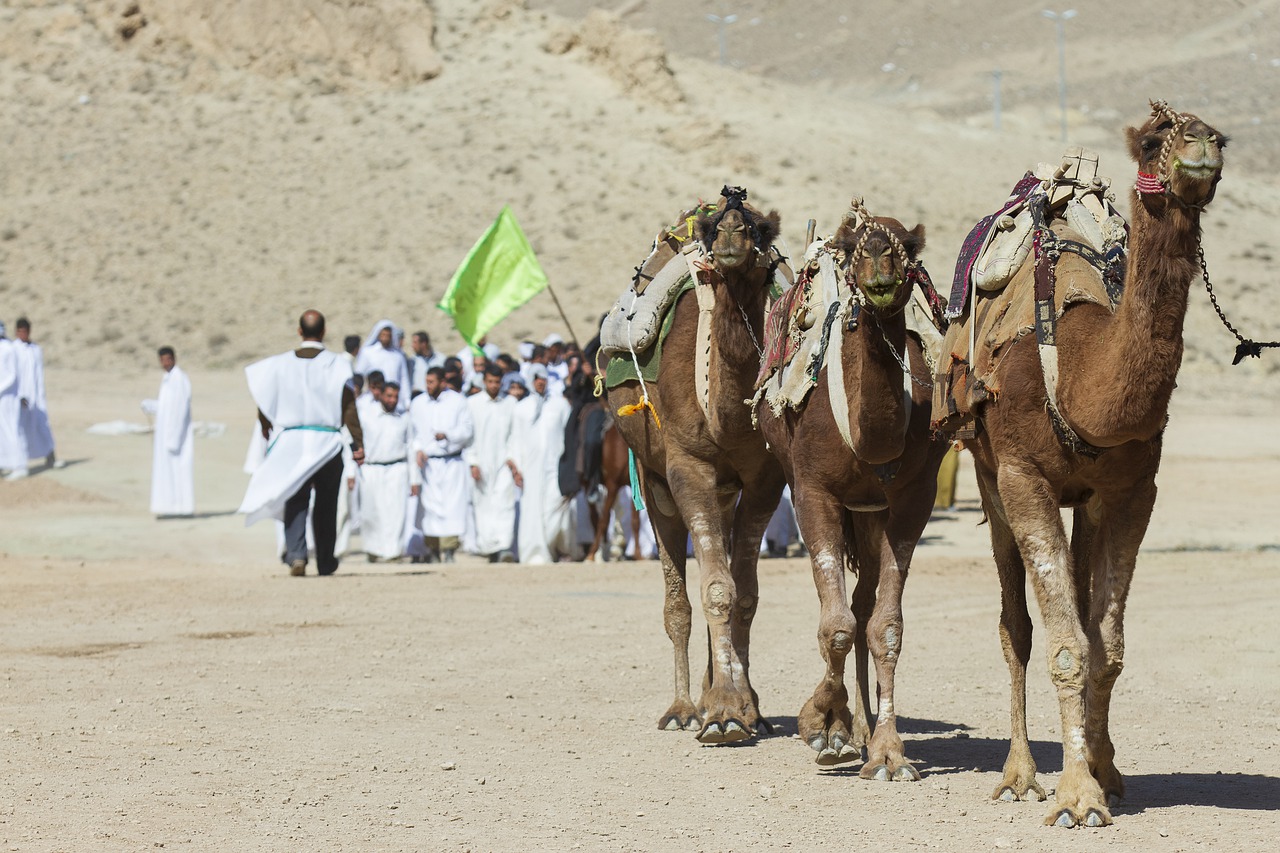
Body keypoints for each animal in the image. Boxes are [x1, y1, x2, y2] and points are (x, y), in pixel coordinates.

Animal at [608, 187, 787, 743]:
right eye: (711, 231)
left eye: (761, 230)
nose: (730, 232)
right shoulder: (687, 468)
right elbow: (715, 590)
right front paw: (724, 714)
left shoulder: (765, 480)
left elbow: (744, 593)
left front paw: (745, 706)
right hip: (653, 480)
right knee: (677, 601)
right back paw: (684, 708)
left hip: (724, 491)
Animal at [757, 207, 947, 779]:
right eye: (852, 245)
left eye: (908, 245)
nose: (881, 261)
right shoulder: (812, 490)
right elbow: (835, 625)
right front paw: (820, 725)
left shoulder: (914, 499)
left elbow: (885, 627)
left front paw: (888, 754)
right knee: (846, 611)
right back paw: (846, 728)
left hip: (870, 511)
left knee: (864, 608)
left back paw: (863, 731)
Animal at [945, 103, 1227, 827]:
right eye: (1154, 142)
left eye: (1220, 135)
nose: (1201, 150)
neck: (1078, 369)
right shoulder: (1022, 476)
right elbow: (1066, 645)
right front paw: (1076, 796)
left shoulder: (1132, 489)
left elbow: (1108, 645)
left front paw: (1103, 771)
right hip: (987, 478)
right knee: (1015, 625)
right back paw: (1019, 773)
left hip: (1086, 501)